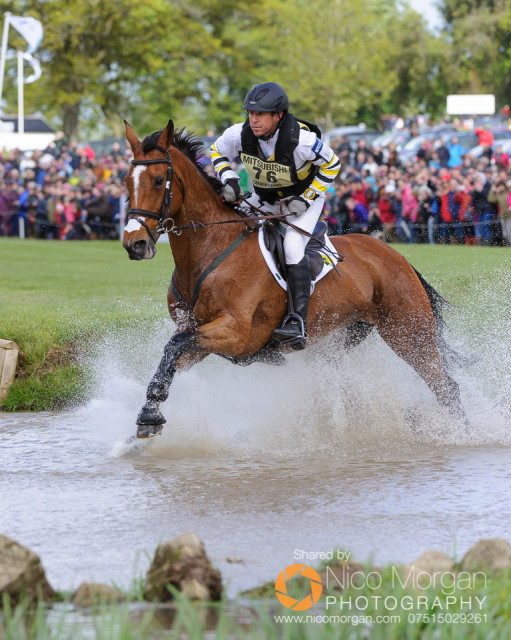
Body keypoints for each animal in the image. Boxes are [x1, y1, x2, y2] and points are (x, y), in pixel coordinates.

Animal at [121, 119, 464, 440]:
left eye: (158, 181)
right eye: (127, 181)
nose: (133, 243)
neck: (209, 249)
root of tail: (396, 256)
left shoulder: (236, 333)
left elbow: (174, 346)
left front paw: (149, 413)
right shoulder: (197, 331)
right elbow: (170, 357)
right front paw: (148, 416)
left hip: (409, 333)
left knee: (446, 388)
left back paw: (462, 433)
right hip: (336, 343)